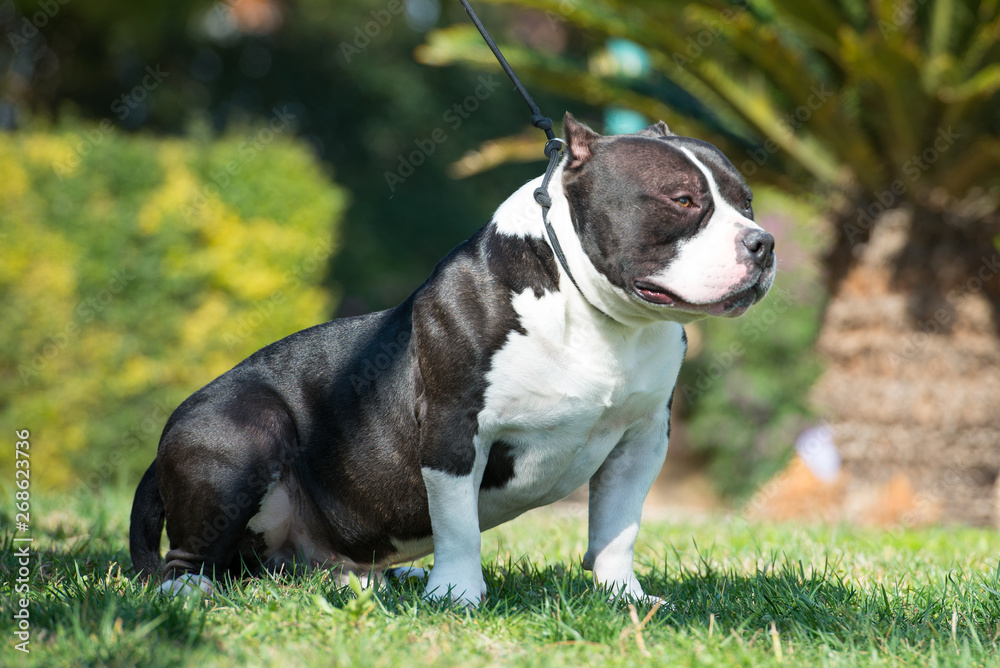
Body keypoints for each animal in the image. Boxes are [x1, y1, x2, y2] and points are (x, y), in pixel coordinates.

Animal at [129, 113, 776, 604]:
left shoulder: (641, 439)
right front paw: (458, 594)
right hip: (243, 427)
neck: (599, 317)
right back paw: (190, 591)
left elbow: (618, 527)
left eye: (746, 203)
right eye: (683, 200)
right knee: (187, 559)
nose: (763, 242)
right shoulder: (452, 429)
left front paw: (625, 598)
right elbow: (459, 524)